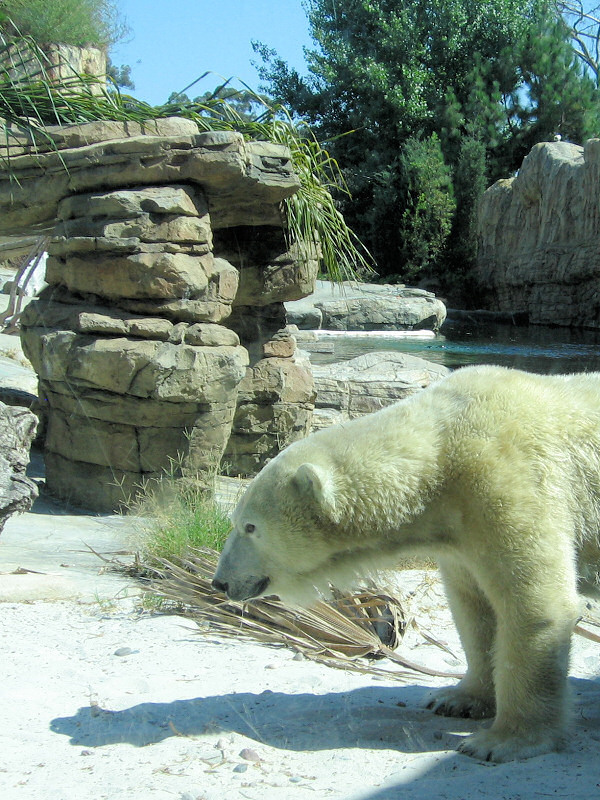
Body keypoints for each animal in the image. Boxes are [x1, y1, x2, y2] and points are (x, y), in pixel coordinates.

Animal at [212, 366, 600, 760]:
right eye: (237, 521)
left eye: (249, 527)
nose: (220, 582)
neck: (443, 449)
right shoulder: (462, 533)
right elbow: (474, 608)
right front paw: (458, 698)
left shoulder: (509, 481)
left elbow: (535, 605)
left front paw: (503, 740)